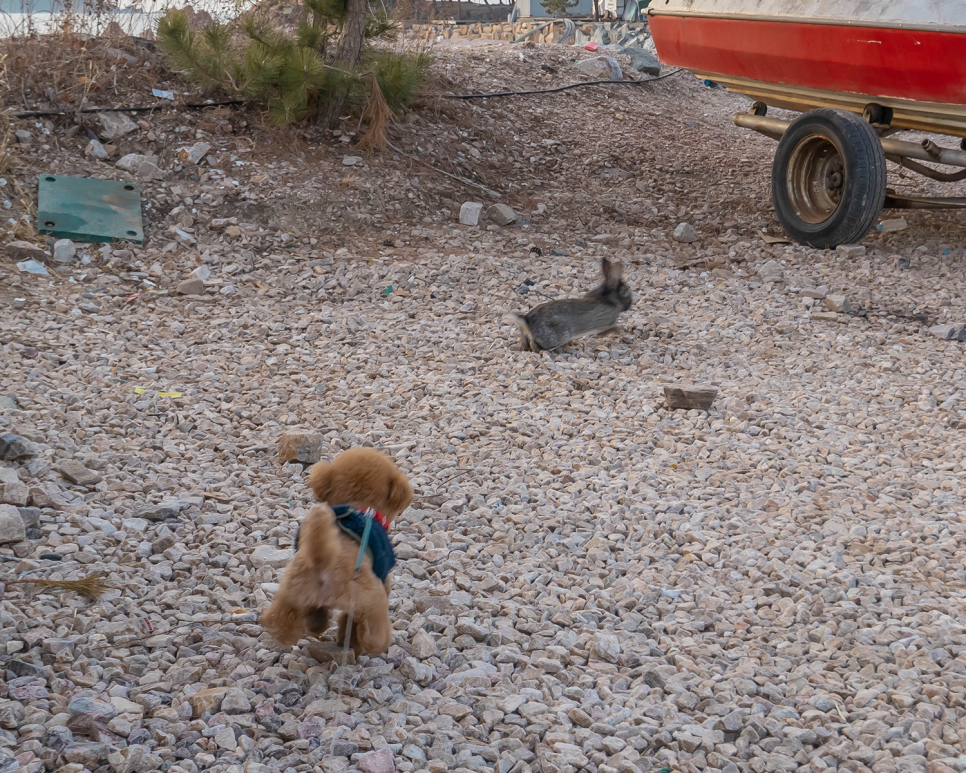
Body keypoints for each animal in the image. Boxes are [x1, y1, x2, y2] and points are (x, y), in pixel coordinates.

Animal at [260, 446, 416, 652]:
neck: (359, 506)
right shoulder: (383, 580)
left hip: (290, 593)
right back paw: (377, 644)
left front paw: (320, 625)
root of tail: (323, 562)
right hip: (372, 600)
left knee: (279, 622)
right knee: (373, 634)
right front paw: (351, 642)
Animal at [506, 260, 636, 354]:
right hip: (561, 335)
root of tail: (527, 322)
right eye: (625, 291)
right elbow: (609, 330)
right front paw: (619, 331)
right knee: (537, 346)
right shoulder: (605, 323)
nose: (630, 304)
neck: (608, 299)